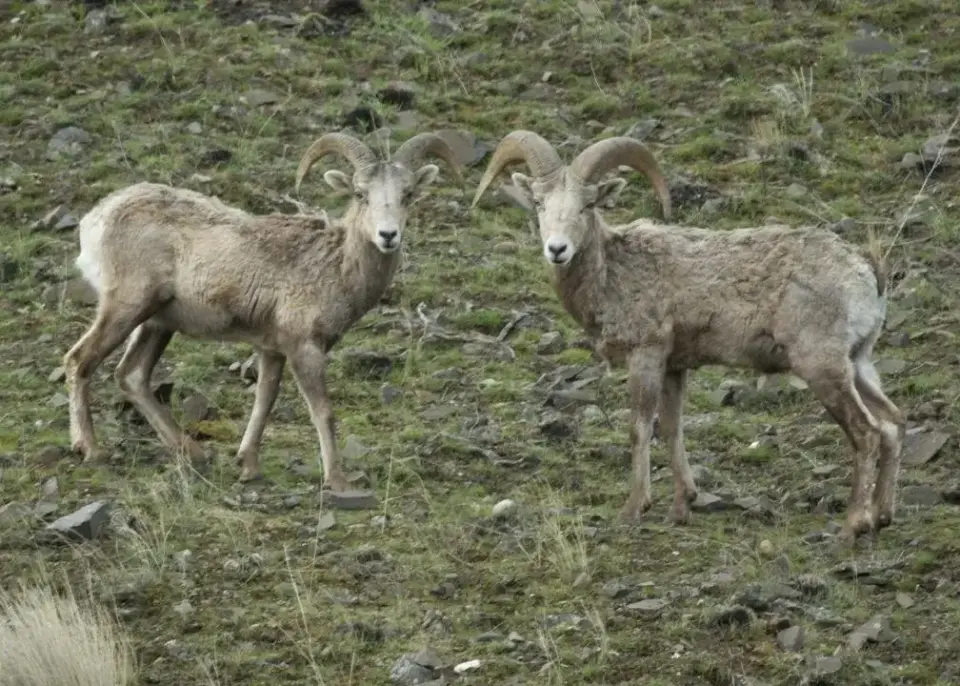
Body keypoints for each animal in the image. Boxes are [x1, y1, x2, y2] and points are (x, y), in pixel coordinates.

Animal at [63, 131, 462, 494]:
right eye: (360, 194)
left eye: (407, 194)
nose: (387, 235)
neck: (335, 266)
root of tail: (95, 220)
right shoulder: (305, 349)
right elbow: (323, 412)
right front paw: (337, 481)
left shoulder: (271, 351)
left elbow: (263, 403)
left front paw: (248, 467)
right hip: (126, 309)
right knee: (80, 361)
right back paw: (92, 450)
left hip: (157, 324)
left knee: (132, 376)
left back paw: (194, 454)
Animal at [471, 130, 905, 541]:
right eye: (539, 203)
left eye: (587, 205)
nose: (557, 249)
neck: (614, 273)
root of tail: (866, 270)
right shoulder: (674, 368)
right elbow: (671, 427)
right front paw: (682, 506)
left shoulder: (646, 356)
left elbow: (640, 427)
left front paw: (634, 509)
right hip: (858, 364)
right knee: (892, 424)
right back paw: (883, 516)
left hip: (823, 368)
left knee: (866, 434)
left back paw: (853, 526)